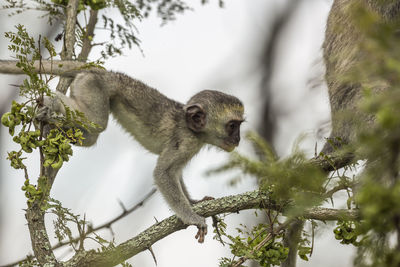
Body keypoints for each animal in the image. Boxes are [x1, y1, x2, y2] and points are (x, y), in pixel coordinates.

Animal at [36, 68, 244, 243]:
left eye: (239, 125)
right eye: (232, 126)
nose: (238, 139)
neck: (191, 127)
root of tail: (103, 72)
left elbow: (175, 173)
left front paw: (194, 202)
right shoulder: (185, 141)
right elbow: (163, 173)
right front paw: (193, 218)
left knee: (92, 135)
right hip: (94, 86)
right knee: (97, 122)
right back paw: (50, 100)